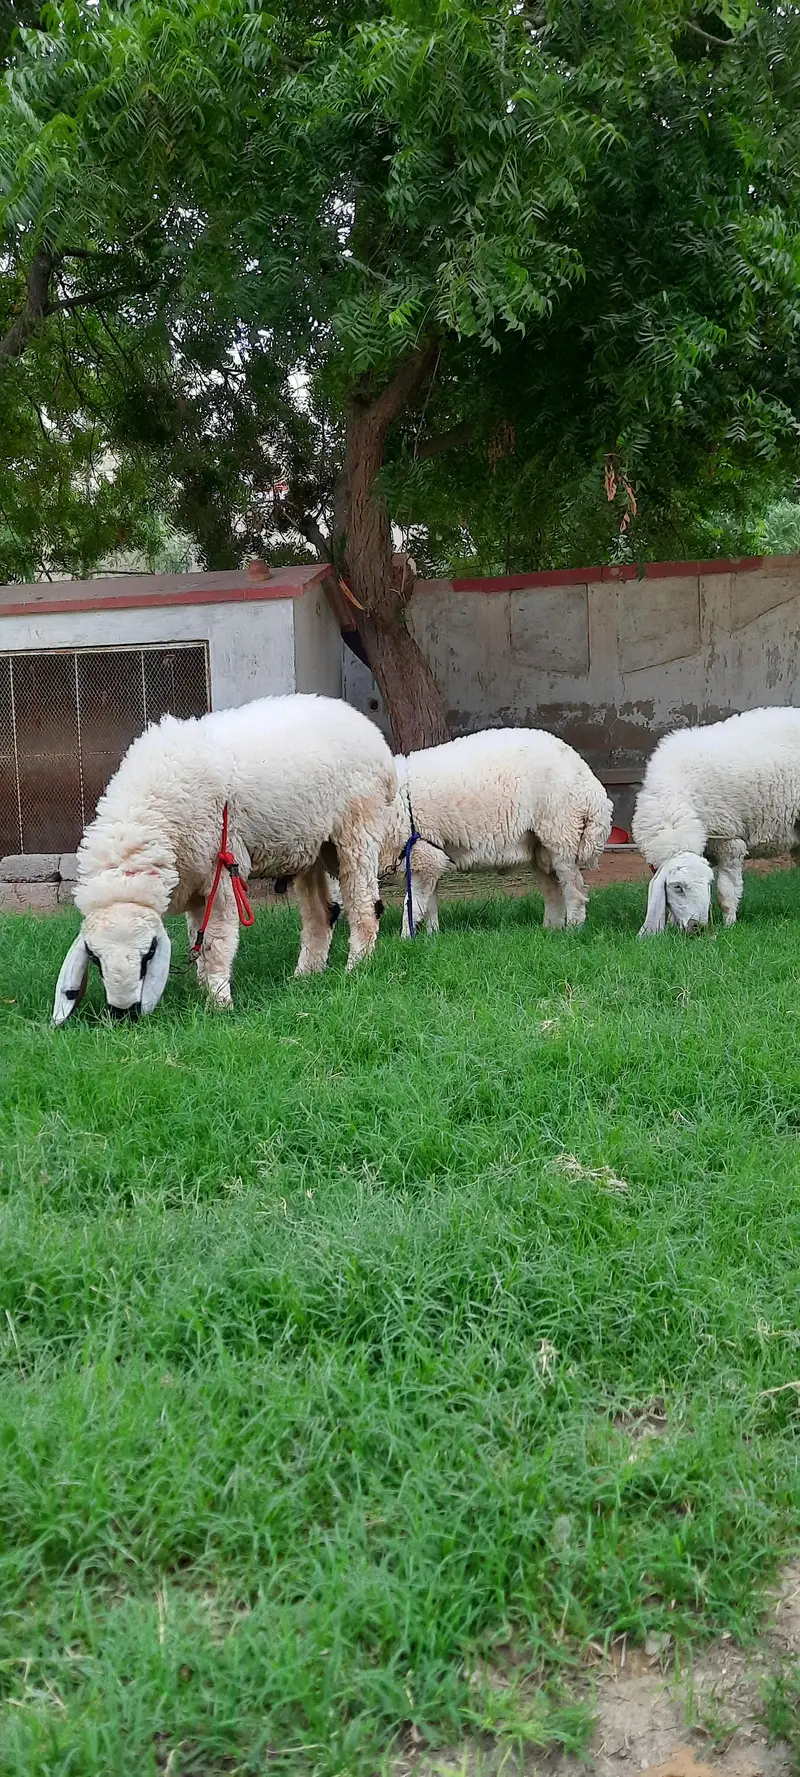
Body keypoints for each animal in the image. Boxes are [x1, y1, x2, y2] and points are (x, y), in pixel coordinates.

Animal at [52, 694, 397, 1022]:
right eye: (95, 959)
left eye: (148, 954)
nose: (124, 1014)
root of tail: (374, 736)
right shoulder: (193, 882)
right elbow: (197, 937)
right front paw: (205, 987)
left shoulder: (220, 870)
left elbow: (214, 944)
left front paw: (219, 1003)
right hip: (310, 846)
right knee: (320, 914)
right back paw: (305, 976)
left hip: (357, 828)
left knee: (365, 906)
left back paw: (356, 968)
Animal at [377, 727, 613, 933]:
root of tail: (591, 785)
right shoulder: (429, 860)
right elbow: (430, 906)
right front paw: (431, 936)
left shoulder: (421, 856)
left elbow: (413, 905)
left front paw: (407, 939)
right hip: (540, 848)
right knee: (553, 890)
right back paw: (550, 930)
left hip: (562, 834)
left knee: (574, 890)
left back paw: (573, 930)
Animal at [632, 706, 800, 935]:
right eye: (677, 887)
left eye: (708, 883)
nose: (697, 927)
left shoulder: (729, 842)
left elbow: (726, 895)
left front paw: (730, 925)